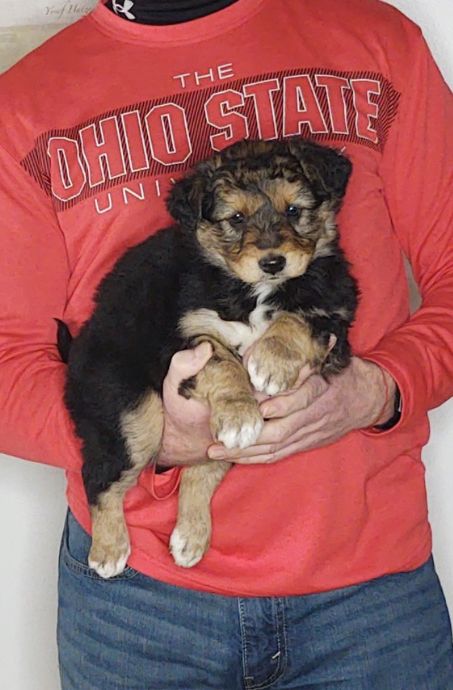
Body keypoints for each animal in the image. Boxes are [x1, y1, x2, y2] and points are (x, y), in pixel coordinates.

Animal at [58, 136, 358, 576]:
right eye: (236, 218)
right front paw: (239, 410)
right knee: (101, 476)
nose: (273, 262)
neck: (253, 291)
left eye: (293, 210)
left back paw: (190, 538)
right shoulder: (187, 336)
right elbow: (223, 363)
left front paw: (269, 364)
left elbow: (298, 320)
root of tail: (76, 350)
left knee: (206, 466)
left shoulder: (335, 319)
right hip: (128, 407)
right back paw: (109, 551)